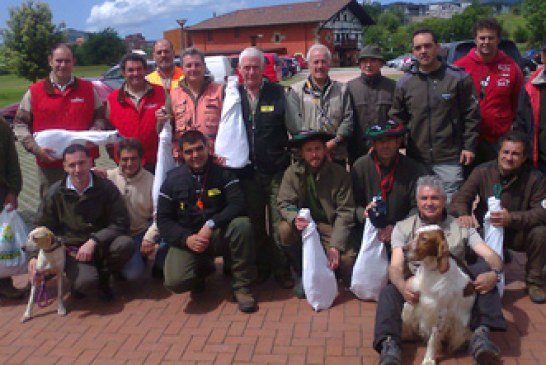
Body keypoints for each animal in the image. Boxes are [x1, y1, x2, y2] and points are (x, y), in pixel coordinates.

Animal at [398, 225, 474, 364]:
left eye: (424, 239)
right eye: (415, 235)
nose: (403, 249)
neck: (432, 270)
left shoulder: (440, 312)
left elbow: (433, 339)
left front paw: (429, 359)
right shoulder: (416, 299)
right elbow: (405, 314)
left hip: (461, 326)